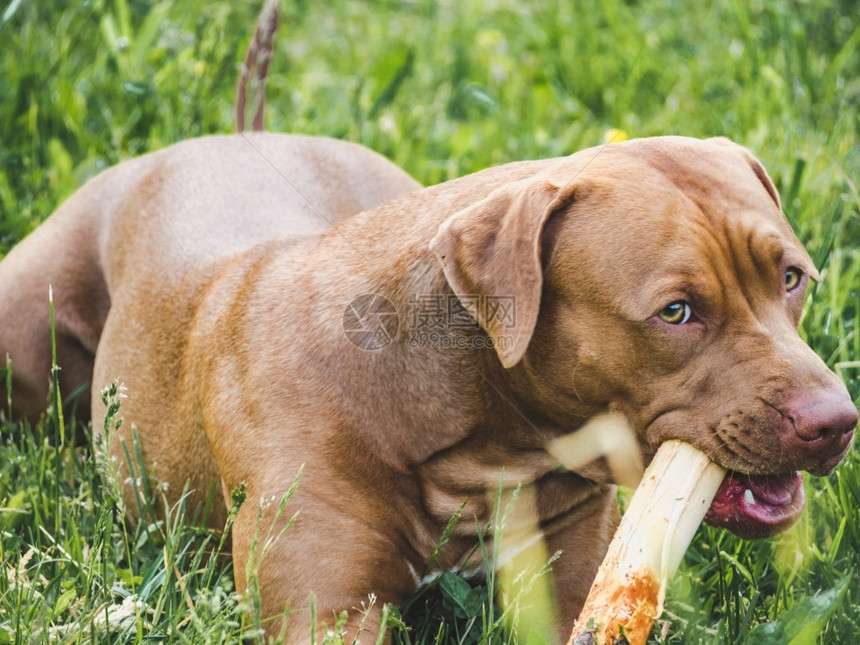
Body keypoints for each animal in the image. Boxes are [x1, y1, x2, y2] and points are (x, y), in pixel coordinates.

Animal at [0, 135, 856, 640]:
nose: (836, 421)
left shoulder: (569, 584)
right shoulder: (327, 614)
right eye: (676, 312)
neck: (476, 439)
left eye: (792, 277)